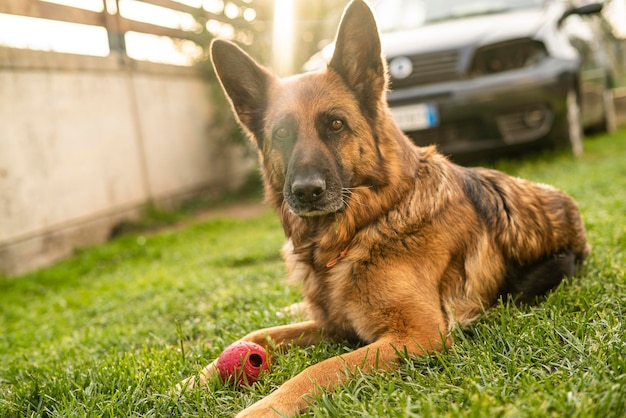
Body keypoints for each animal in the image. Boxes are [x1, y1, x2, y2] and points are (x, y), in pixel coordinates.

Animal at [179, 1, 584, 416]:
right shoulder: (333, 325)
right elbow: (256, 333)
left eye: (336, 124)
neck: (369, 223)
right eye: (281, 133)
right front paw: (190, 382)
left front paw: (262, 407)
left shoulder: (417, 335)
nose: (306, 192)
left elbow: (320, 369)